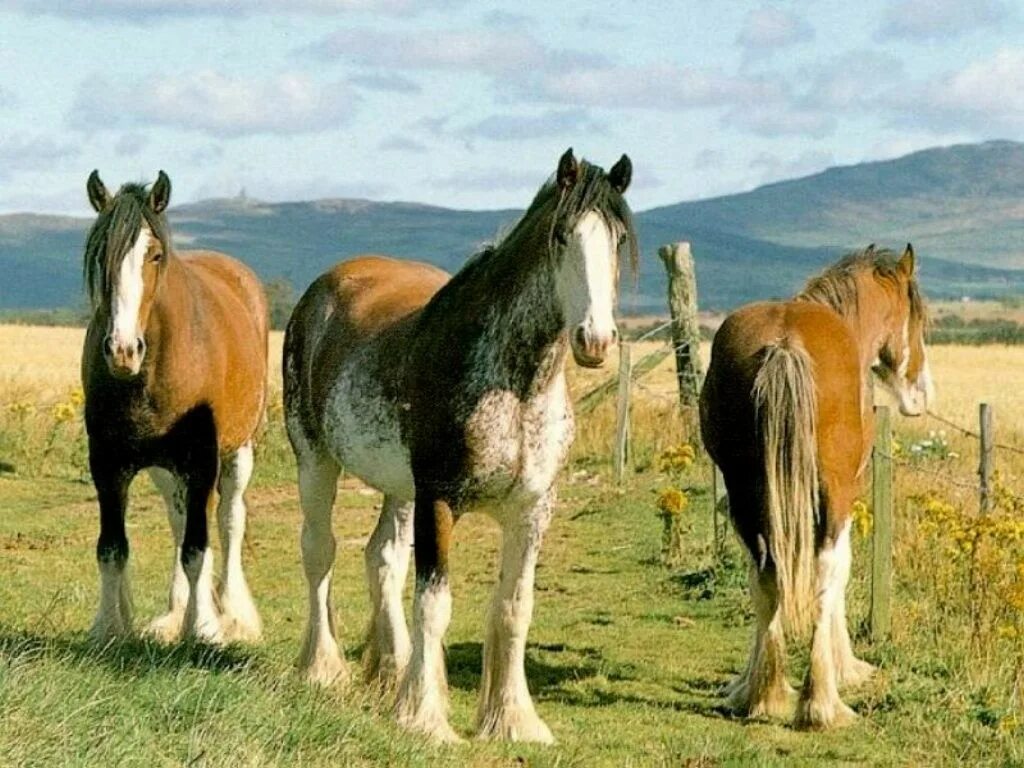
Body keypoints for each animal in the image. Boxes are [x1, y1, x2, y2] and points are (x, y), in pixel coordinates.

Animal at [80, 171, 268, 647]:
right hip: (167, 469)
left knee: (228, 519)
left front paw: (203, 628)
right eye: (100, 254)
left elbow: (198, 548)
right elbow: (112, 547)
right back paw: (176, 612)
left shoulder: (201, 459)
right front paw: (108, 627)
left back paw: (232, 613)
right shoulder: (107, 462)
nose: (122, 350)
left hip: (238, 450)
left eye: (155, 255)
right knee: (179, 517)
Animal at [280, 150, 630, 745]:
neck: (516, 386)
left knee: (382, 559)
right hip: (316, 463)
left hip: (399, 488)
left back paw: (392, 670)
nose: (596, 339)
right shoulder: (439, 500)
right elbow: (434, 604)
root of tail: (320, 295)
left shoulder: (532, 509)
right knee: (320, 552)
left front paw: (512, 720)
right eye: (562, 236)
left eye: (620, 238)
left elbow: (514, 609)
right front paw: (425, 717)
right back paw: (323, 668)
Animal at [700, 244, 933, 729]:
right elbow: (841, 569)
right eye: (918, 319)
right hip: (830, 495)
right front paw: (846, 668)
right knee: (823, 570)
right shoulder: (848, 496)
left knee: (764, 573)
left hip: (745, 493)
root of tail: (784, 345)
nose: (921, 393)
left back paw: (763, 694)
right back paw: (822, 703)